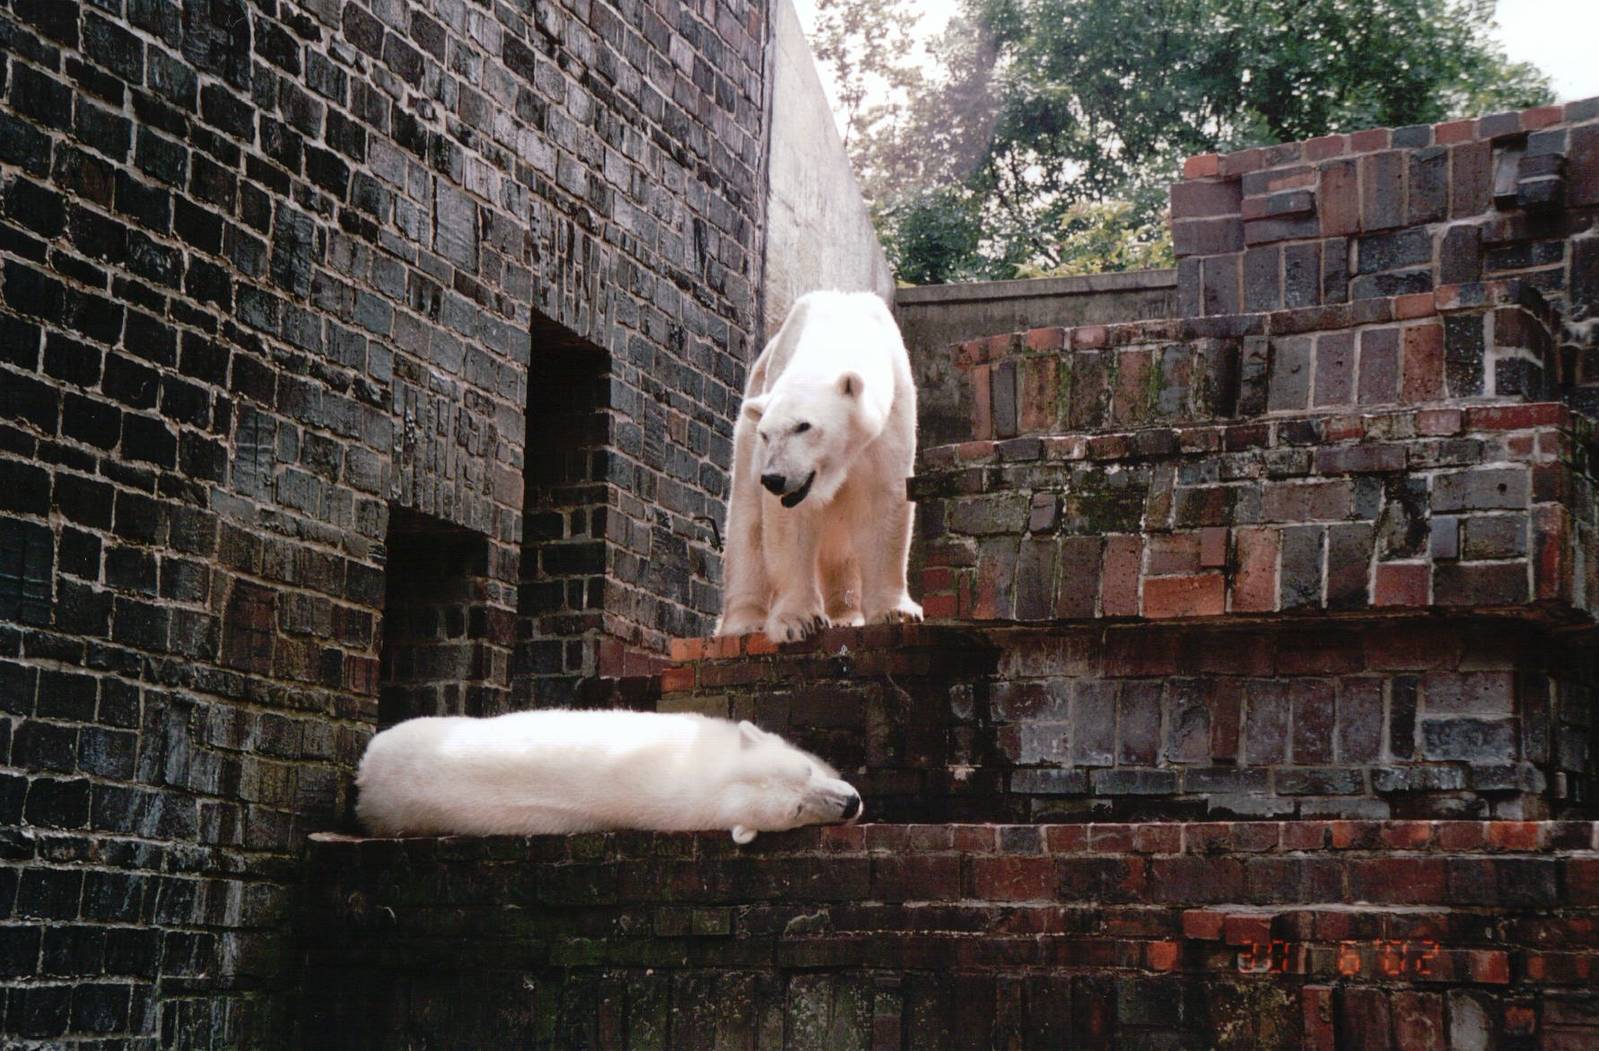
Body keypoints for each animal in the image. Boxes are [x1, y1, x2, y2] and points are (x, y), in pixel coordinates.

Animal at [716, 290, 922, 643]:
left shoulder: (889, 423)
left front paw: (897, 612)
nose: (774, 479)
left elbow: (883, 502)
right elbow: (789, 523)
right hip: (745, 439)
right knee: (747, 523)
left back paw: (846, 616)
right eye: (766, 433)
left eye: (804, 426)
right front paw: (797, 621)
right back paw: (742, 622)